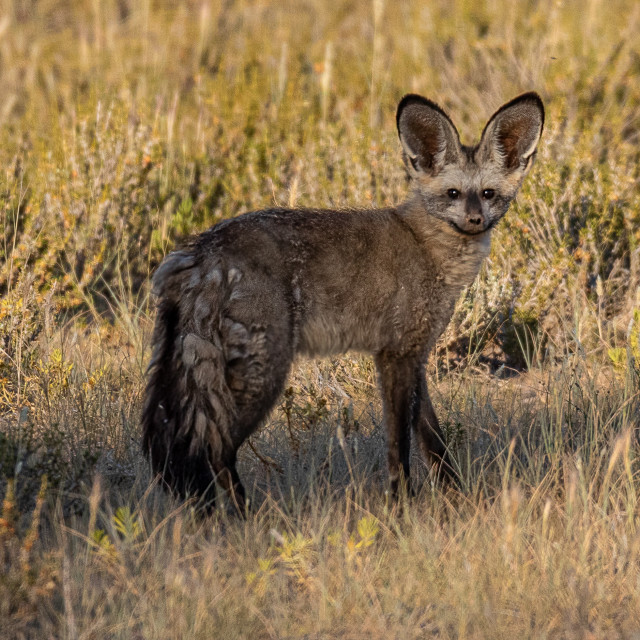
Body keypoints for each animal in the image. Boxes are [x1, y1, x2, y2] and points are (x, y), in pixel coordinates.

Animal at [141, 91, 544, 510]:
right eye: (453, 194)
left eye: (488, 194)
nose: (475, 221)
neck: (428, 247)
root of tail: (201, 250)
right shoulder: (395, 355)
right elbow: (399, 444)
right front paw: (401, 505)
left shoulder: (414, 354)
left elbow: (433, 440)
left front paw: (454, 495)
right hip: (263, 375)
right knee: (215, 449)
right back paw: (244, 517)